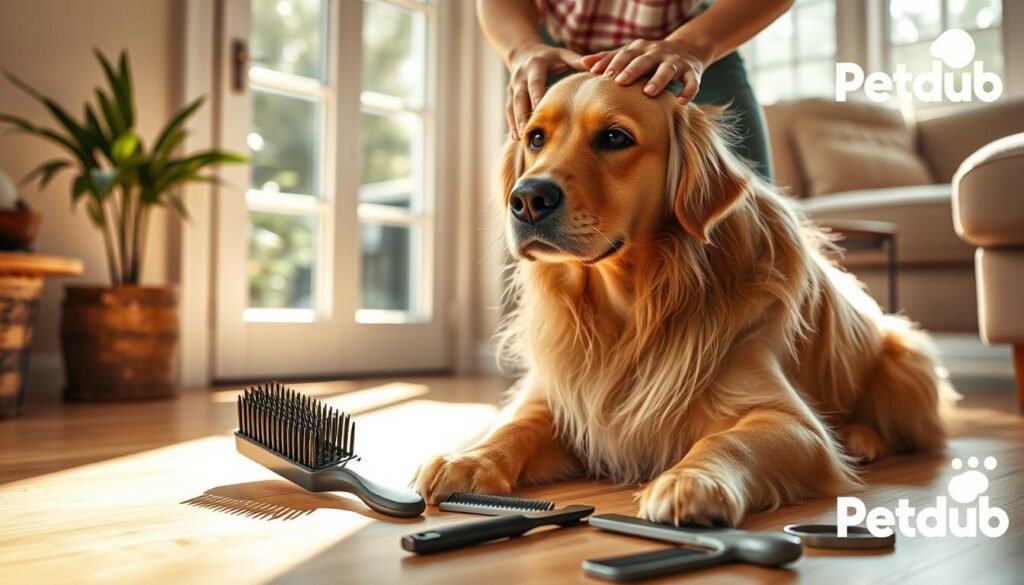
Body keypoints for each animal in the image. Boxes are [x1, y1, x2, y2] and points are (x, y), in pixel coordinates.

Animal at [411, 72, 946, 524]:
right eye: (535, 137)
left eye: (615, 138)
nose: (526, 199)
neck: (633, 306)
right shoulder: (563, 397)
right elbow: (514, 427)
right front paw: (468, 458)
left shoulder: (792, 423)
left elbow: (729, 442)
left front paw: (692, 482)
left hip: (907, 357)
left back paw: (861, 437)